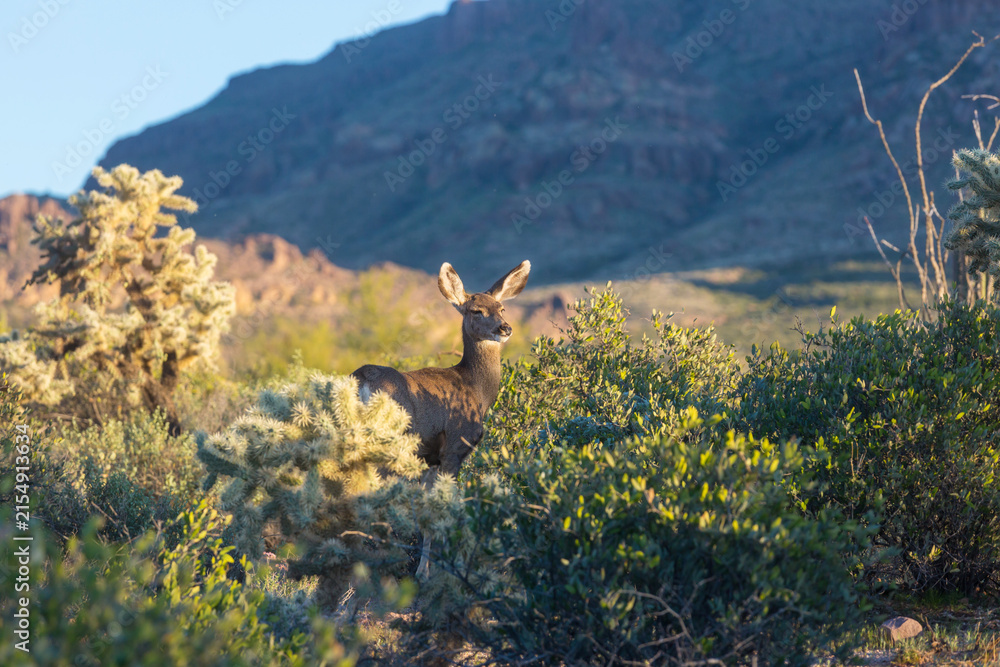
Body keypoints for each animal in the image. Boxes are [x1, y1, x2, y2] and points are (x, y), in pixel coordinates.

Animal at [351, 259, 530, 579]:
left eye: (502, 308)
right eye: (476, 311)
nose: (505, 328)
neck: (477, 390)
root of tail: (361, 380)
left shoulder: (428, 459)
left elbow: (426, 511)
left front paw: (424, 566)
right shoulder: (454, 449)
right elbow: (447, 506)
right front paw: (446, 567)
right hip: (386, 444)